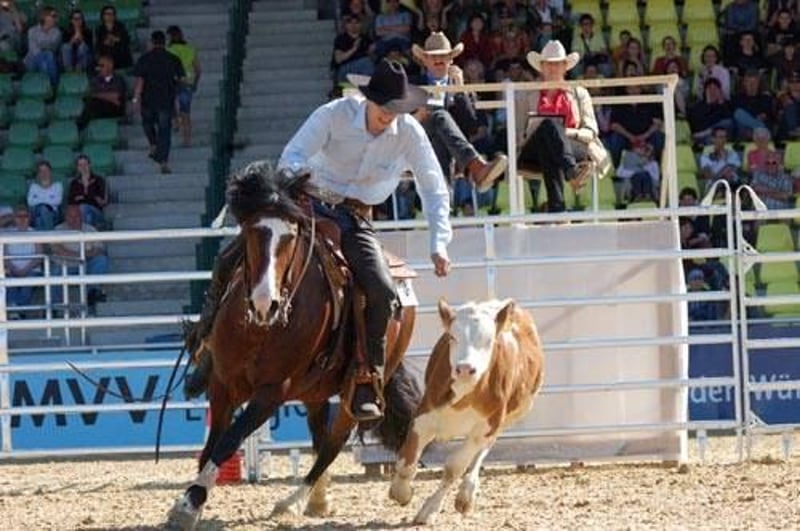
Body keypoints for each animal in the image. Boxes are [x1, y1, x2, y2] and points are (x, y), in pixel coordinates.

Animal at [166, 162, 421, 529]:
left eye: (290, 237)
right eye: (251, 232)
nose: (265, 303)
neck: (260, 329)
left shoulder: (272, 392)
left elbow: (228, 441)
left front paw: (189, 502)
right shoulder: (222, 385)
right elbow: (211, 446)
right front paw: (192, 501)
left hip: (357, 390)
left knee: (333, 442)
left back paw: (293, 501)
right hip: (314, 390)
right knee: (319, 434)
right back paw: (318, 498)